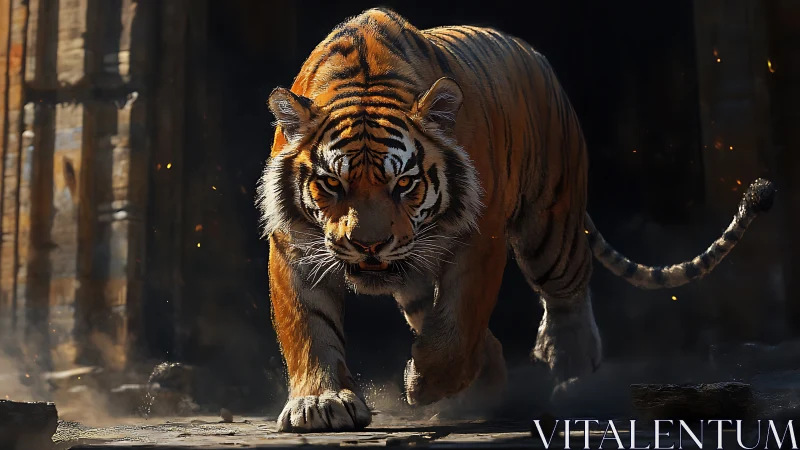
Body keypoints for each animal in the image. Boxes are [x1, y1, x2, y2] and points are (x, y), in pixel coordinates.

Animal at [257, 7, 775, 432]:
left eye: (403, 183)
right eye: (332, 183)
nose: (368, 245)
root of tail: (534, 55)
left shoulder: (478, 238)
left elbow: (458, 327)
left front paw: (423, 383)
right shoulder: (293, 242)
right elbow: (308, 327)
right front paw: (321, 403)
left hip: (551, 226)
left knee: (568, 297)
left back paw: (572, 384)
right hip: (420, 273)